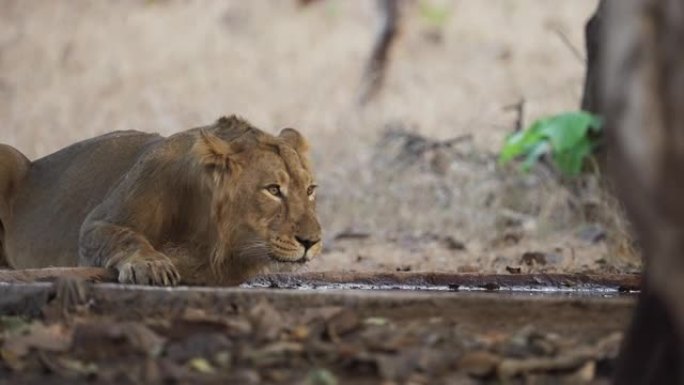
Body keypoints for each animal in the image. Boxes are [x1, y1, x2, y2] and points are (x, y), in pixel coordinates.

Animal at [0, 116, 324, 284]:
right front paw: (152, 265)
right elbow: (124, 237)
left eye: (310, 190)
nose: (312, 242)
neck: (202, 226)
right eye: (273, 190)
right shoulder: (98, 224)